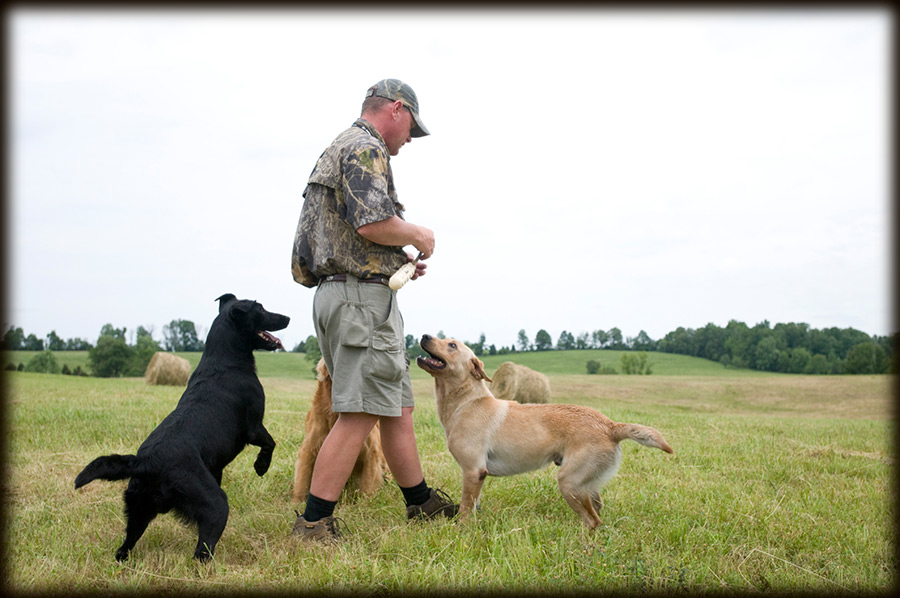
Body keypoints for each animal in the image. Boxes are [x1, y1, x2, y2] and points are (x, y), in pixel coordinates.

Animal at [77, 296, 290, 564]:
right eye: (260, 308)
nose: (287, 318)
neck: (226, 360)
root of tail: (144, 462)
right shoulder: (253, 427)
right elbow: (270, 443)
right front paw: (261, 466)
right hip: (214, 504)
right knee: (202, 552)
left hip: (138, 512)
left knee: (124, 548)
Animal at [290, 358, 384, 504]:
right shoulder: (309, 448)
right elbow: (302, 479)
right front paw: (297, 502)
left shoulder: (371, 452)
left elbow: (367, 483)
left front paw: (363, 503)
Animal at [414, 338, 668, 528]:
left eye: (452, 345)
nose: (425, 335)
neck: (466, 402)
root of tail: (610, 425)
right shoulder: (477, 475)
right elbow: (472, 505)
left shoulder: (473, 471)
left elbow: (466, 509)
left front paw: (461, 530)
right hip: (586, 483)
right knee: (597, 512)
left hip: (569, 482)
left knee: (593, 520)